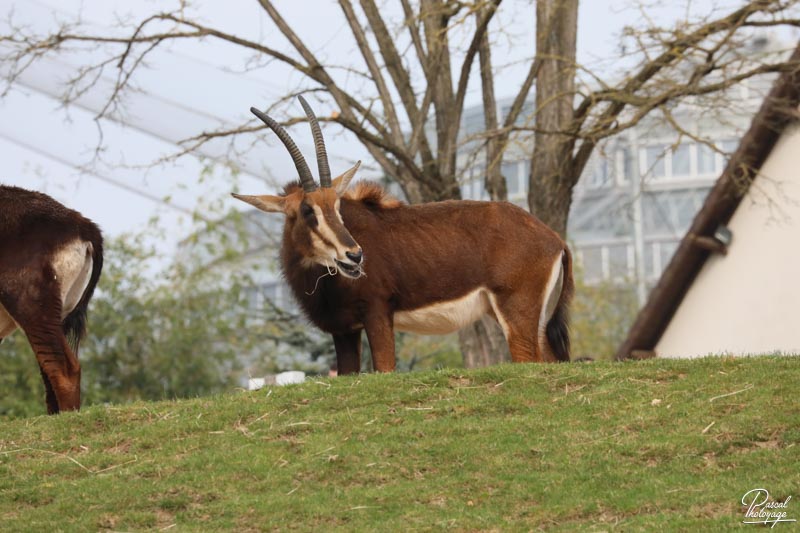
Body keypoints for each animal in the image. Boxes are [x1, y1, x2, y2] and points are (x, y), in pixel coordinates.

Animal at [234, 95, 572, 372]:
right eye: (308, 210)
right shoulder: (345, 331)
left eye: (337, 206)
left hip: (516, 315)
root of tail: (554, 239)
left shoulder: (377, 314)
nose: (354, 255)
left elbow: (385, 368)